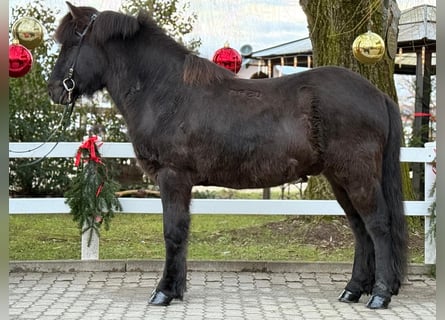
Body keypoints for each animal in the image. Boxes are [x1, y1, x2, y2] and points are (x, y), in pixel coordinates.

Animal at [47, 1, 406, 308]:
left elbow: (173, 231)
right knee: (359, 229)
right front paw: (176, 289)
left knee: (377, 225)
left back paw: (379, 295)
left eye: (71, 43)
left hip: (357, 176)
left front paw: (163, 292)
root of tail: (377, 95)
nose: (54, 90)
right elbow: (182, 231)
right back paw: (353, 290)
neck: (164, 91)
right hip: (338, 178)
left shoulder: (172, 176)